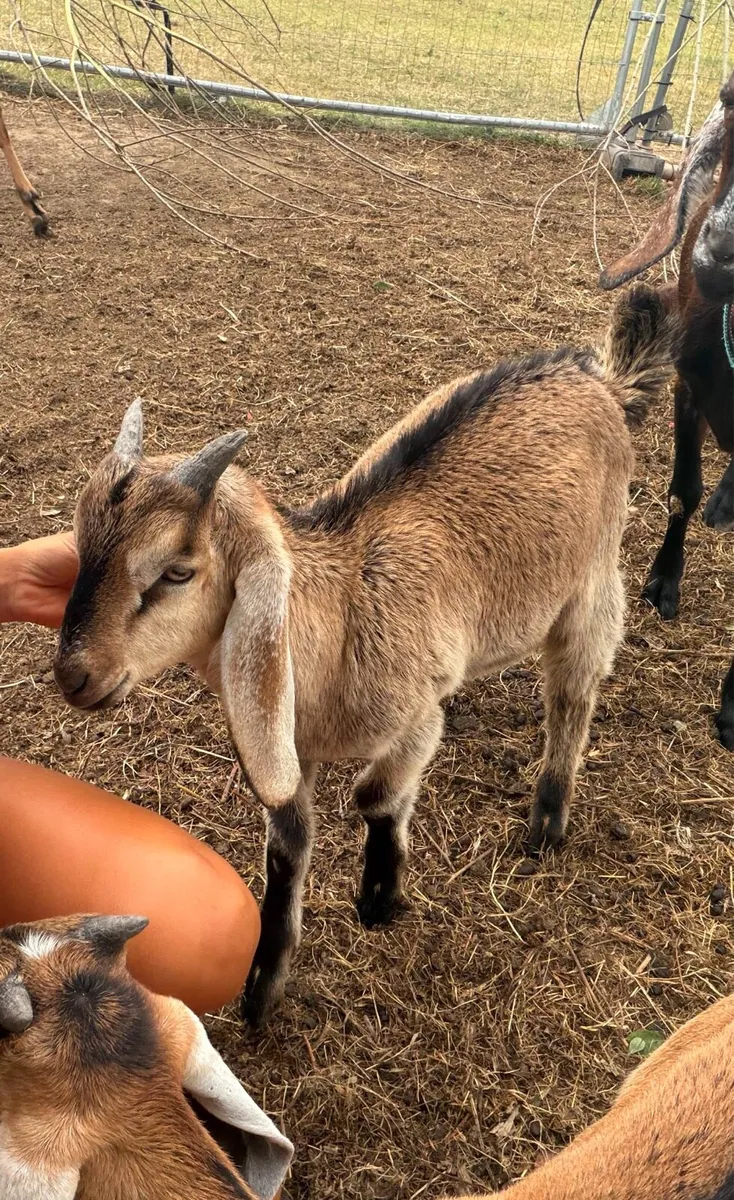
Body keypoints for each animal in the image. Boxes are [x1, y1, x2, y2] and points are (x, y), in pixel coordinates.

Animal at [53, 285, 674, 1027]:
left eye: (177, 571)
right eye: (80, 547)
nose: (74, 674)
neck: (341, 616)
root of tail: (599, 377)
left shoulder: (415, 716)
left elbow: (375, 795)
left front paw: (380, 895)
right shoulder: (288, 741)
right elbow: (288, 844)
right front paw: (263, 986)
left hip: (592, 577)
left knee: (574, 689)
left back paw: (548, 821)